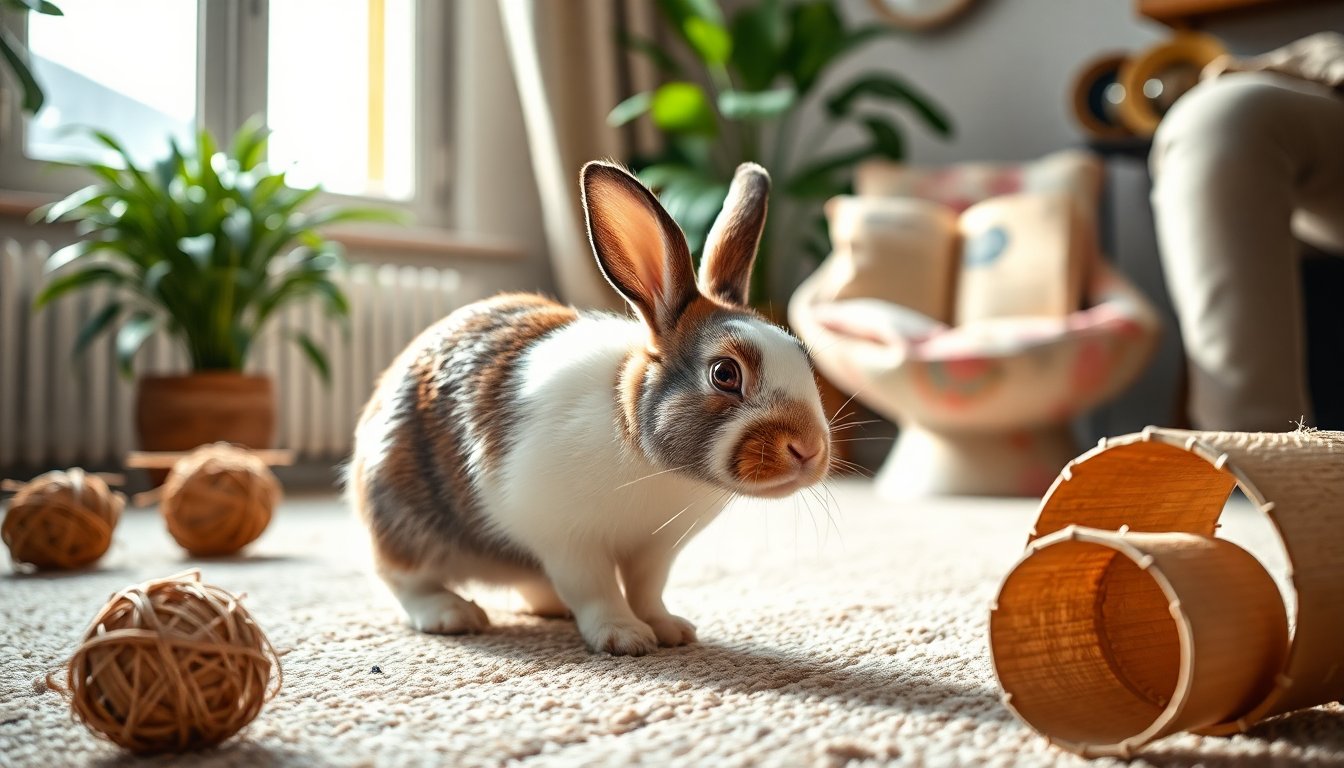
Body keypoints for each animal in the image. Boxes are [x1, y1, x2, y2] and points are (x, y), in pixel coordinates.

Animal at [346, 161, 832, 656]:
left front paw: (671, 630)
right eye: (725, 374)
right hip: (402, 518)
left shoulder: (655, 550)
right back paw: (453, 614)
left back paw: (551, 606)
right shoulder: (569, 541)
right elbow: (598, 590)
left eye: (802, 355)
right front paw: (625, 637)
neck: (641, 446)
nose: (809, 450)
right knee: (401, 578)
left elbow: (647, 590)